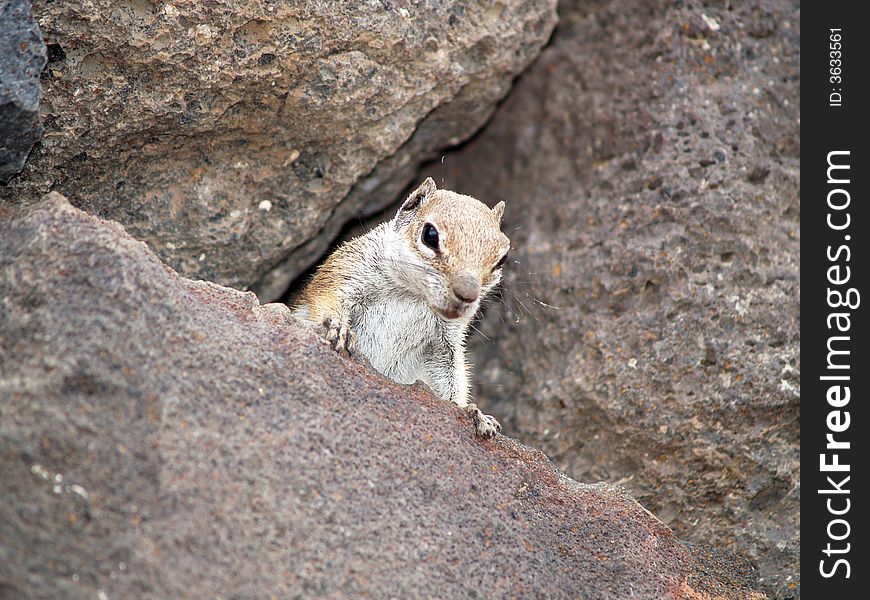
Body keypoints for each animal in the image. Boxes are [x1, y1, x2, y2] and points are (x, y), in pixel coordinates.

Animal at [292, 176, 510, 438]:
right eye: (430, 235)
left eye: (502, 259)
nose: (467, 293)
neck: (414, 296)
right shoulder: (346, 270)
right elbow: (327, 296)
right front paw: (337, 327)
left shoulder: (445, 343)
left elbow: (451, 377)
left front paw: (472, 411)